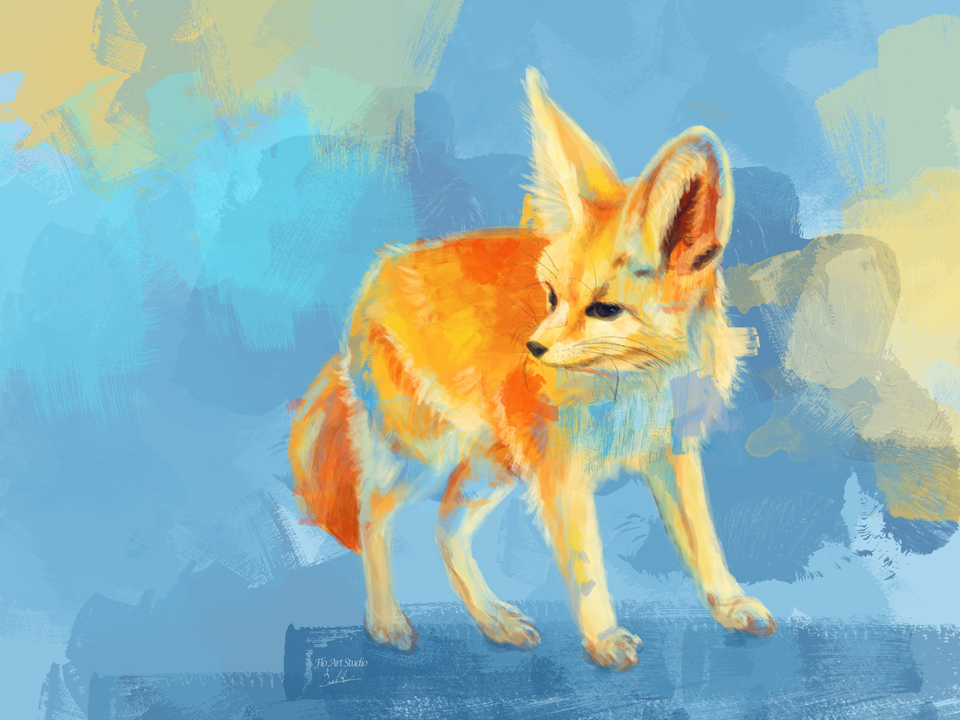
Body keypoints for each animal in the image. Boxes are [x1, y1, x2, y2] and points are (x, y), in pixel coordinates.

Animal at [288, 68, 776, 672]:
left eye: (604, 309)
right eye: (550, 296)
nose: (534, 350)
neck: (639, 387)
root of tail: (383, 267)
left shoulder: (672, 454)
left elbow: (704, 544)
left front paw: (729, 604)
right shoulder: (562, 474)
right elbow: (587, 569)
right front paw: (603, 639)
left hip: (493, 467)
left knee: (445, 529)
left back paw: (492, 621)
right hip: (425, 456)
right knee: (372, 515)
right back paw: (385, 622)